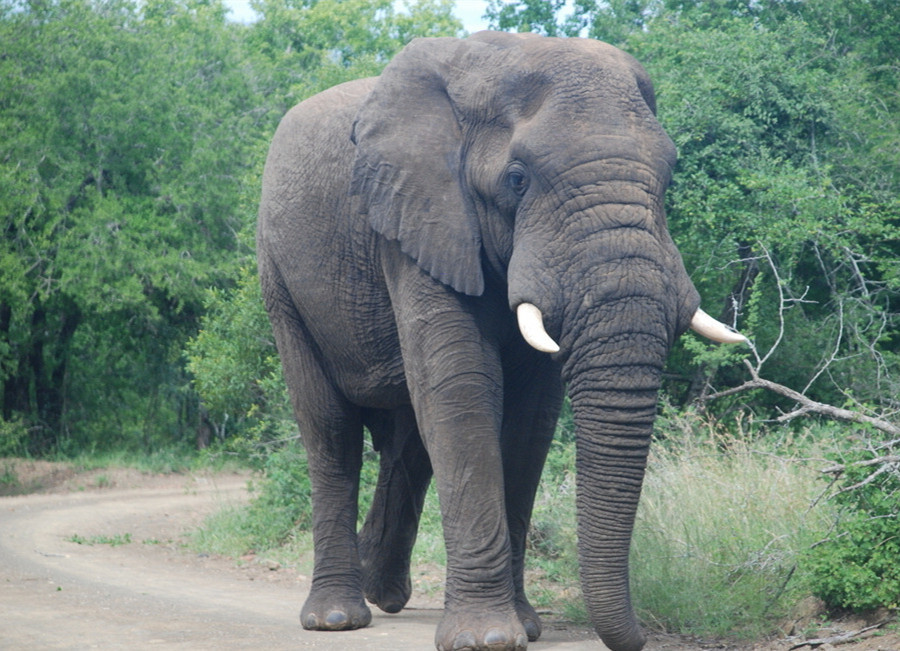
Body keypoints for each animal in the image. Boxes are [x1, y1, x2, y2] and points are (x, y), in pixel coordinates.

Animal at [255, 29, 744, 651]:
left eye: (670, 176)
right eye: (517, 179)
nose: (641, 635)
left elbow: (530, 417)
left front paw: (527, 627)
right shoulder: (418, 216)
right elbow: (462, 387)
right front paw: (486, 638)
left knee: (407, 443)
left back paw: (382, 591)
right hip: (281, 283)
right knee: (331, 433)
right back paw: (338, 617)